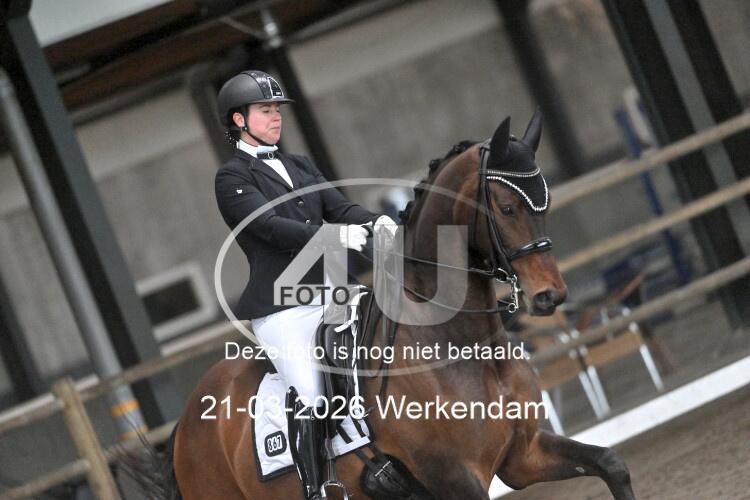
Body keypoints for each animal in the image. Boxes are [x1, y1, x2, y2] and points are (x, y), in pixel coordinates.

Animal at [126, 111, 634, 500]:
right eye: (507, 208)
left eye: (544, 202)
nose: (550, 295)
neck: (453, 343)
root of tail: (185, 423)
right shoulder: (456, 479)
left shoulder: (523, 456)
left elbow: (612, 464)